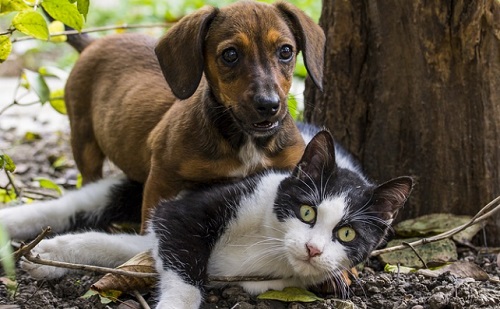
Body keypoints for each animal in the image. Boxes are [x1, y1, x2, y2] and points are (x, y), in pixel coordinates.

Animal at [0, 126, 412, 306]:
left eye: (347, 234)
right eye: (307, 211)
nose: (312, 249)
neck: (270, 244)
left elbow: (136, 248)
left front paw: (55, 255)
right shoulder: (190, 208)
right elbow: (181, 262)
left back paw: (44, 254)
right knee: (77, 204)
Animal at [65, 0, 324, 231]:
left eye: (286, 51)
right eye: (230, 54)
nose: (269, 105)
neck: (245, 141)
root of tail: (92, 43)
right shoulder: (162, 178)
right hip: (84, 140)